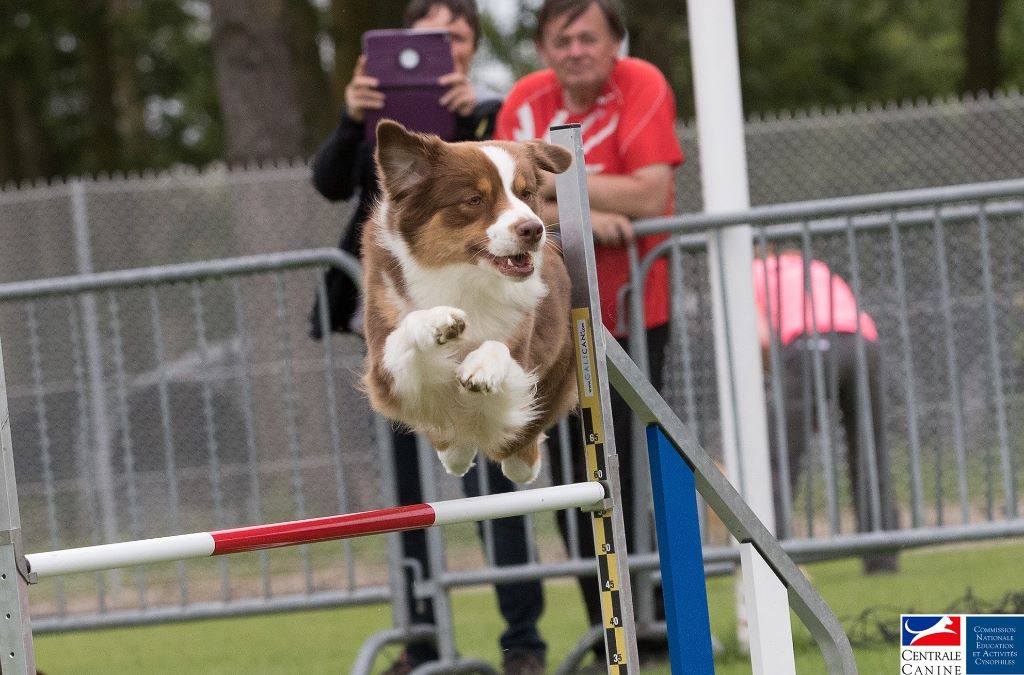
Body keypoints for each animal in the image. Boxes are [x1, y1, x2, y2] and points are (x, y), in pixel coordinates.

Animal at [364, 118, 581, 483]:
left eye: (526, 193)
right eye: (475, 199)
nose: (533, 229)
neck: (465, 277)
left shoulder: (522, 355)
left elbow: (499, 350)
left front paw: (481, 368)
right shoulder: (384, 369)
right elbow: (405, 333)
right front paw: (438, 322)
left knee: (516, 454)